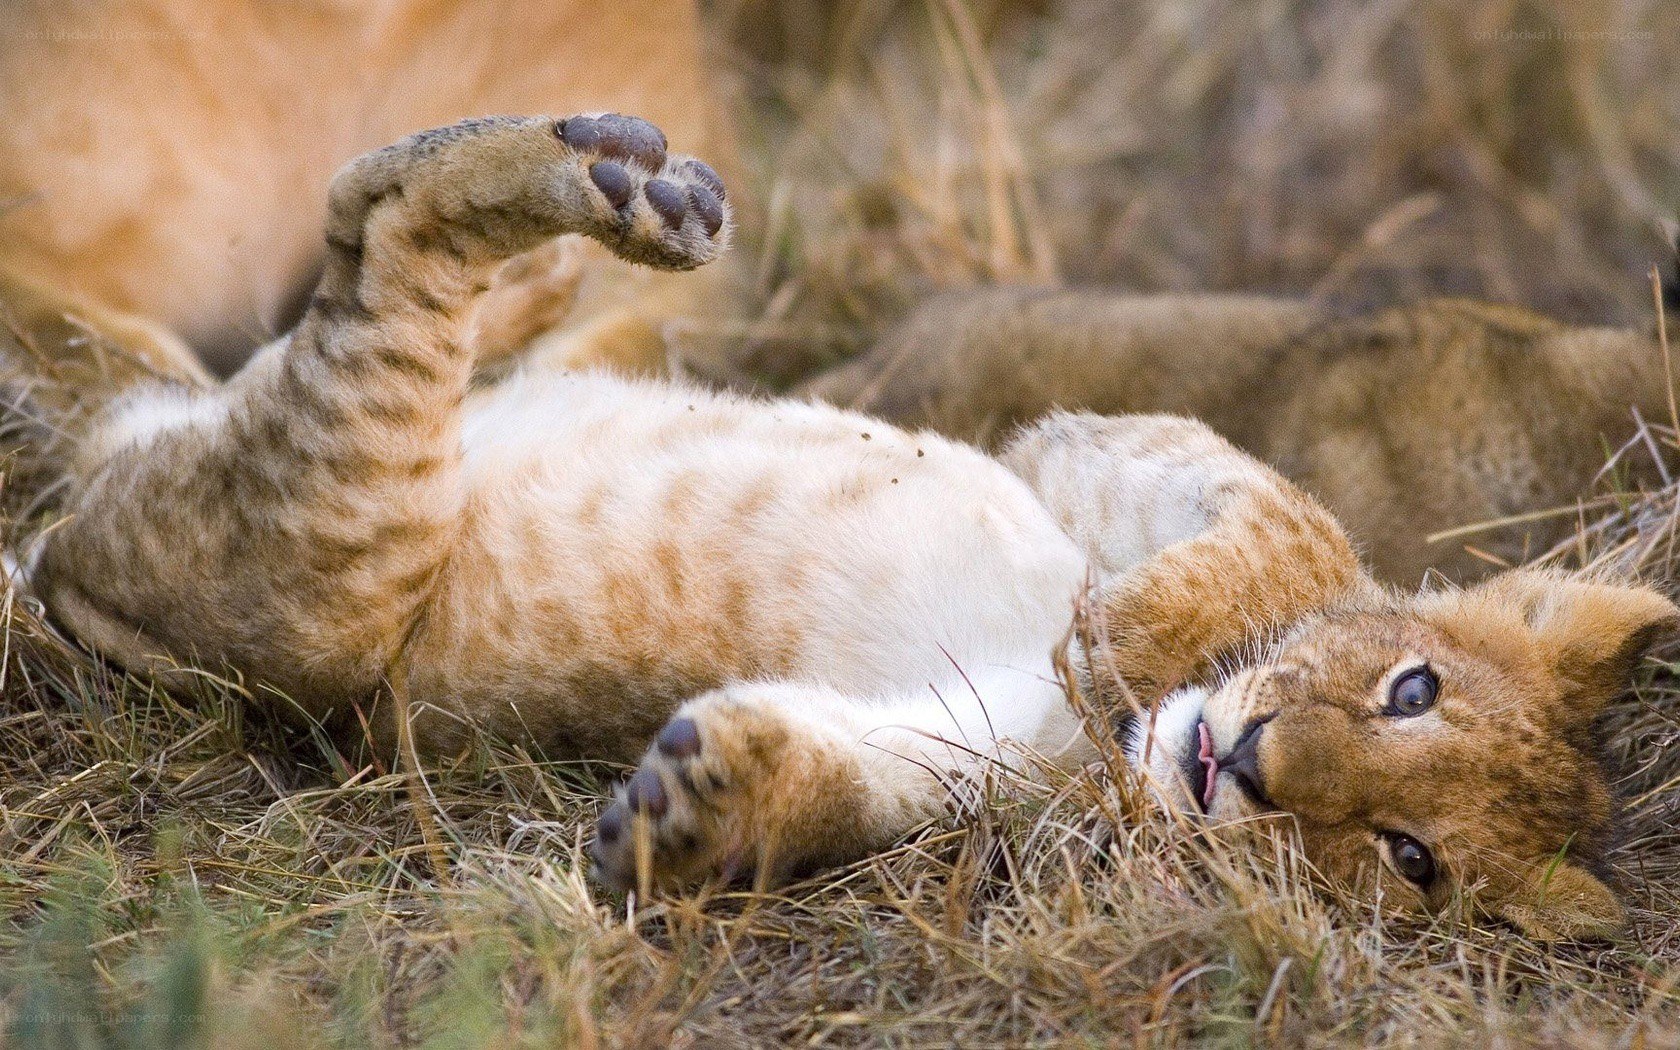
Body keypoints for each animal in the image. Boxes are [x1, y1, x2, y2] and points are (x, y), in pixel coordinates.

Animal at [8, 113, 1673, 944]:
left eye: (1407, 857)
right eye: (1410, 687)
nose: (1248, 769)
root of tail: (63, 569)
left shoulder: (976, 760)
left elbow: (848, 783)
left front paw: (694, 812)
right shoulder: (1097, 444)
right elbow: (1298, 534)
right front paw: (1129, 633)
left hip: (332, 554)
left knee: (377, 243)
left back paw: (614, 180)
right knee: (376, 226)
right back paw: (629, 182)